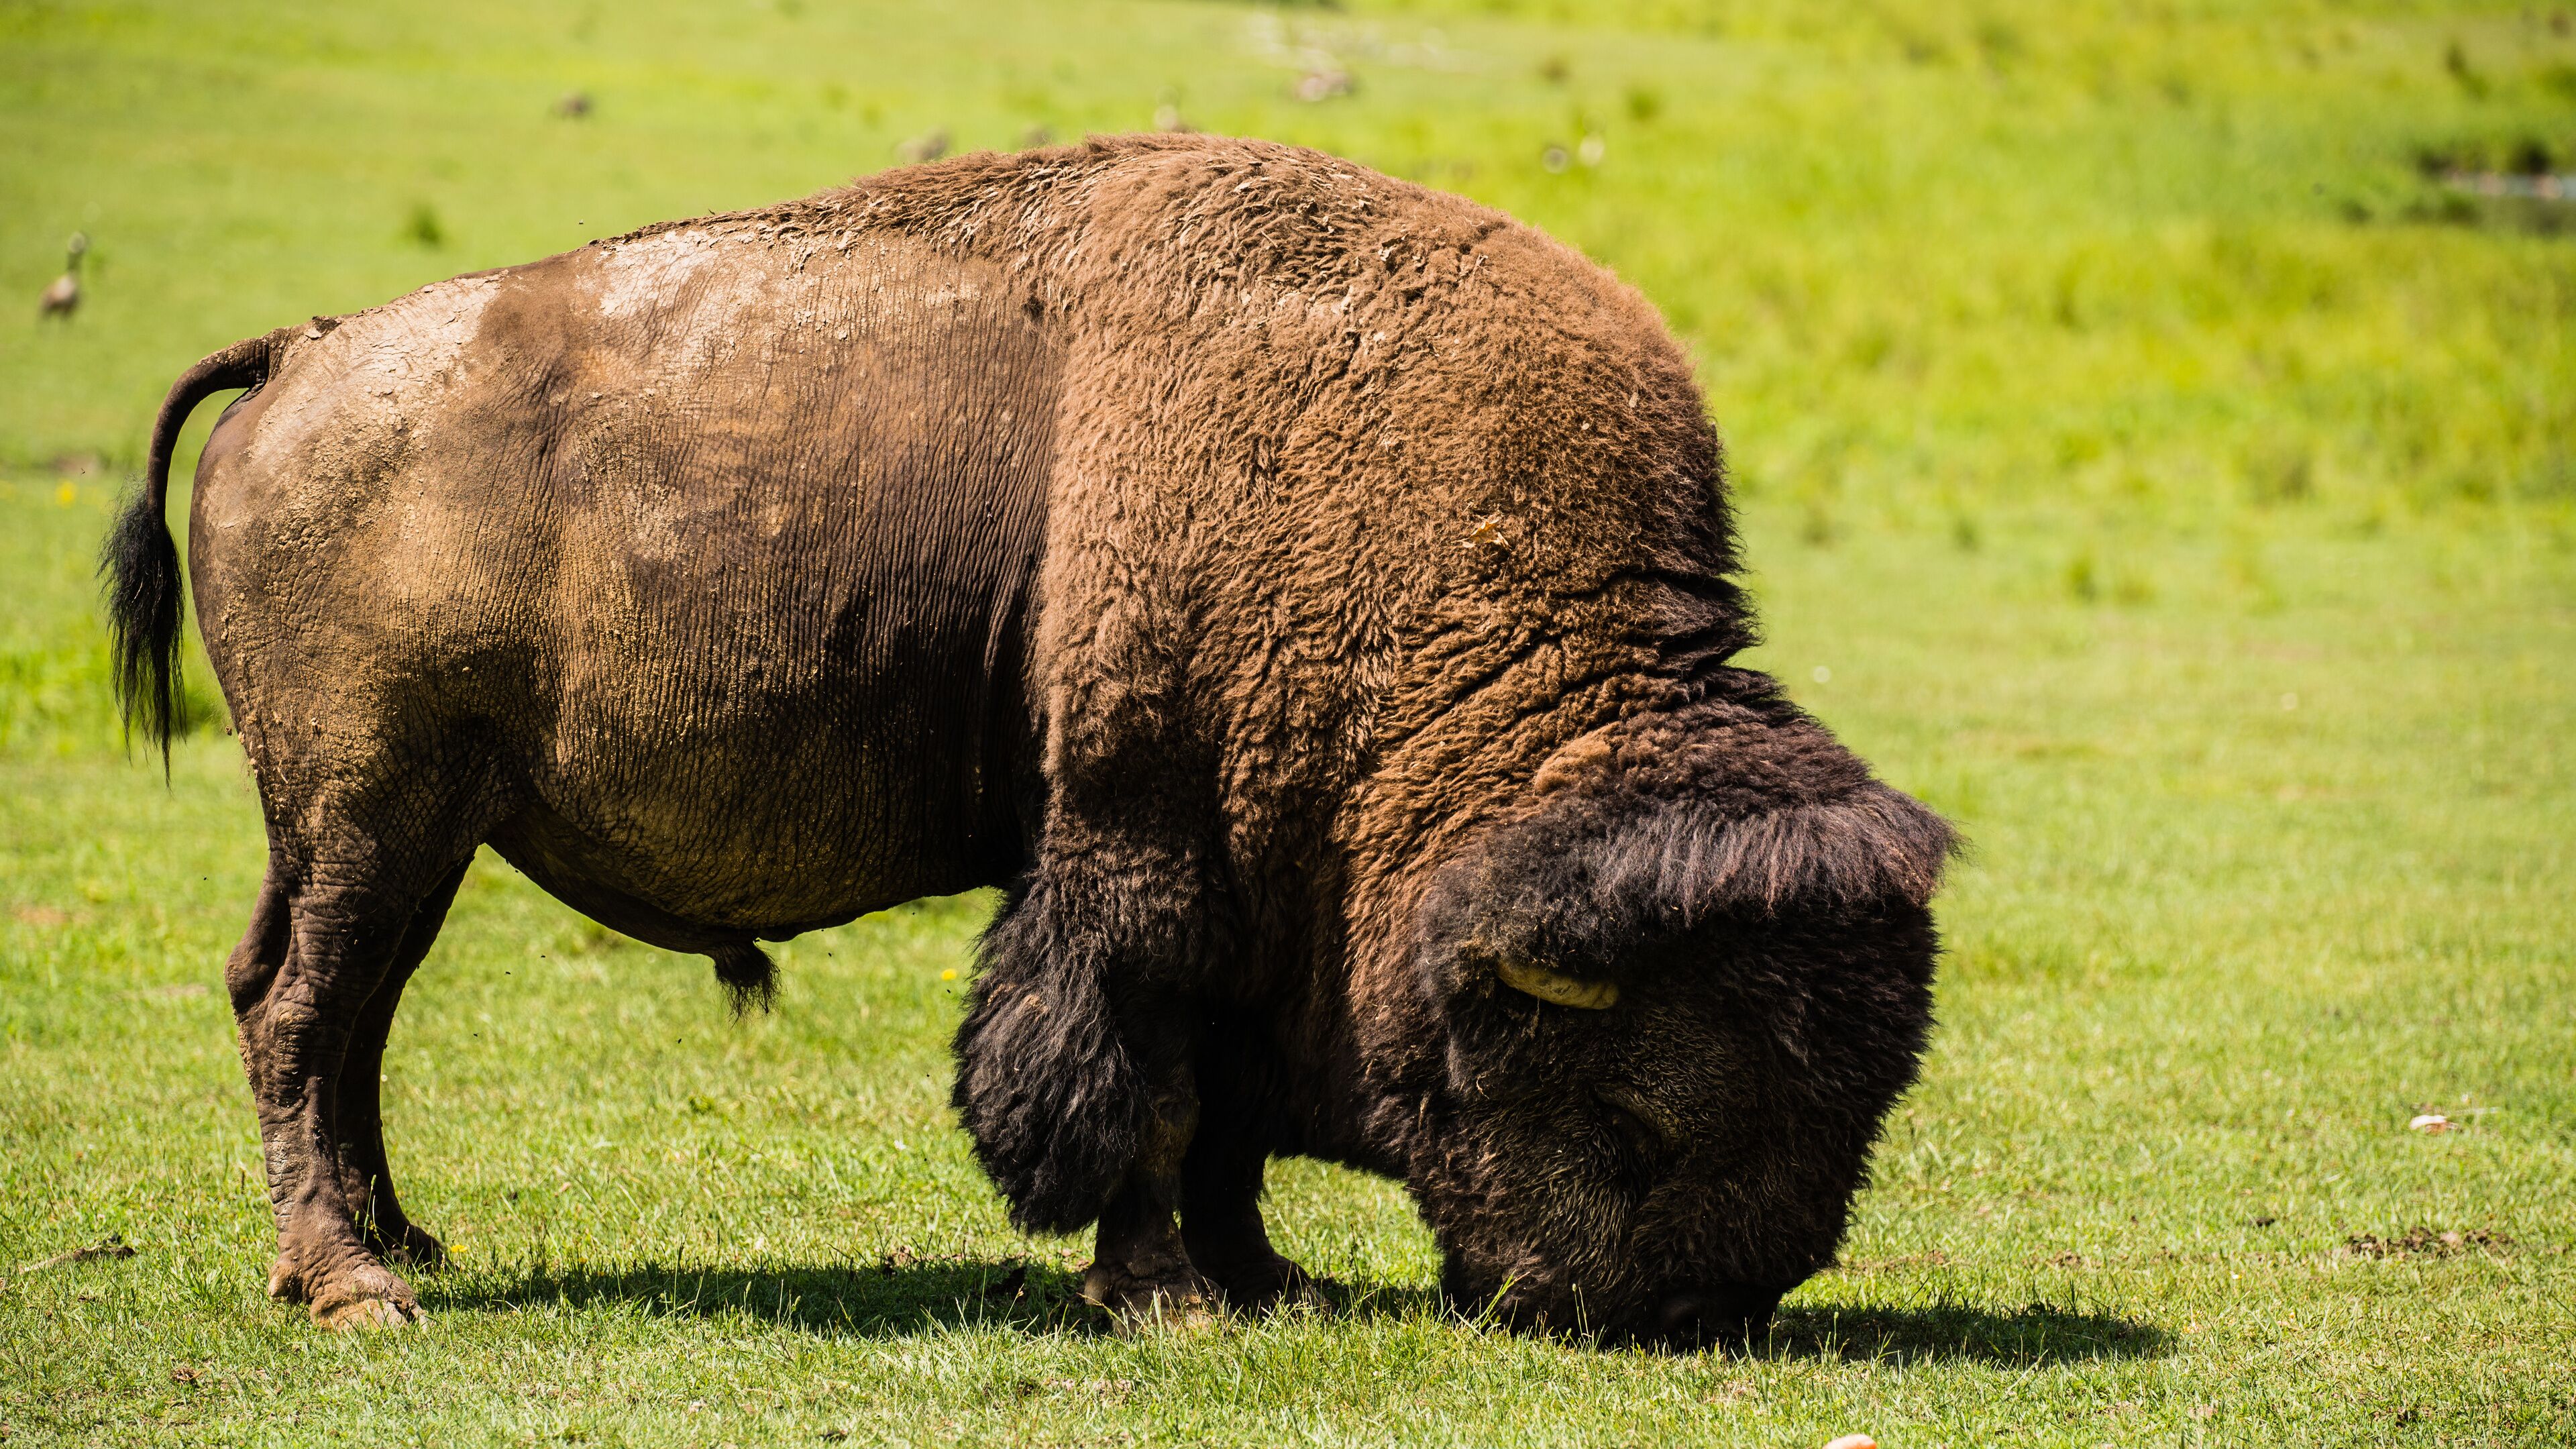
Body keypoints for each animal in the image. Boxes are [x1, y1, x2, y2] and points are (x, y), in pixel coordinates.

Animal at [107, 135, 1953, 1342]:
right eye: (1645, 1111)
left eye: (1865, 1097)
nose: (1703, 1308)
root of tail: (304, 355)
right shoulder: (1140, 852)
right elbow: (1135, 1080)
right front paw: (1171, 1300)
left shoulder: (1246, 892)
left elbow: (1218, 1112)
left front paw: (1263, 1281)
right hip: (370, 804)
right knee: (299, 1009)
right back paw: (352, 1288)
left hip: (411, 830)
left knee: (343, 1013)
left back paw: (407, 1241)